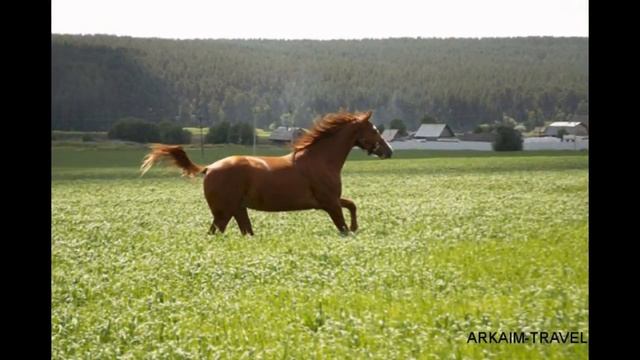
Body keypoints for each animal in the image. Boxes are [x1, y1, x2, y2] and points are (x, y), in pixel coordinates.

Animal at [140, 109, 392, 235]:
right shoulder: (329, 203)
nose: (388, 151)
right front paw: (353, 230)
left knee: (243, 233)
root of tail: (209, 168)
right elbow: (343, 225)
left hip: (238, 210)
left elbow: (352, 205)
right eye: (374, 130)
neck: (320, 159)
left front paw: (356, 227)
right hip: (223, 212)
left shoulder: (329, 201)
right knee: (214, 234)